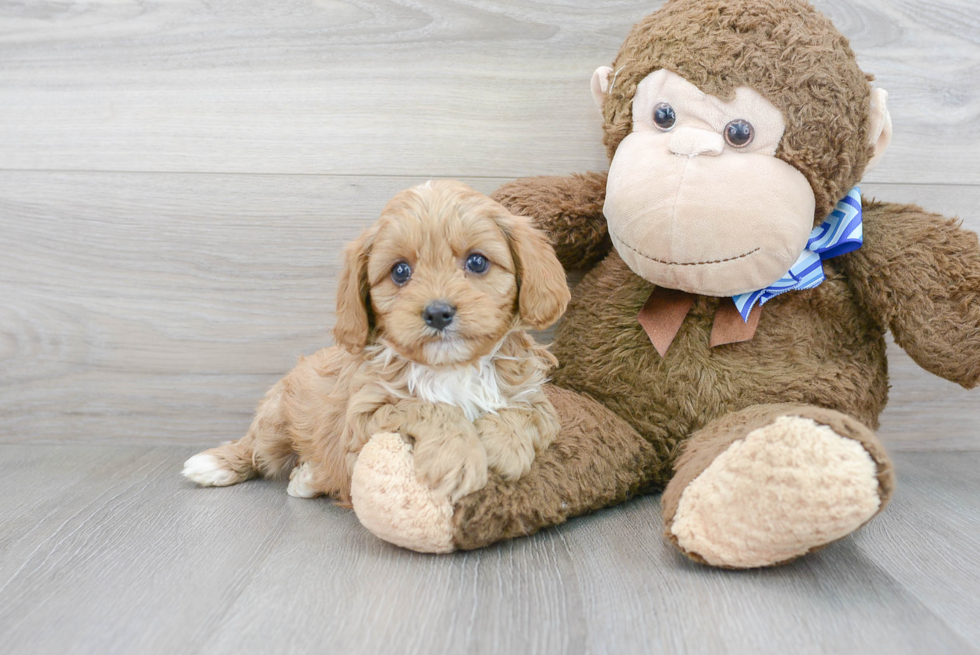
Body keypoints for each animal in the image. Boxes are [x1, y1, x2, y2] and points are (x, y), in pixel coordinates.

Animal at [182, 182, 576, 504]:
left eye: (477, 262)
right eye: (400, 271)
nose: (438, 312)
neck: (451, 367)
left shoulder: (539, 401)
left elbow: (521, 410)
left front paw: (504, 448)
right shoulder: (365, 415)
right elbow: (429, 406)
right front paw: (456, 458)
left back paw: (307, 477)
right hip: (276, 419)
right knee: (255, 448)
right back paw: (216, 464)